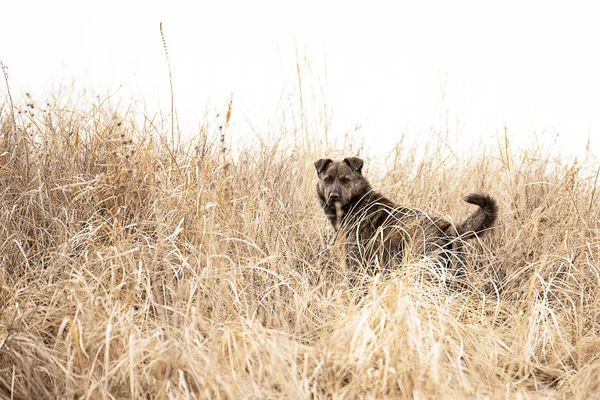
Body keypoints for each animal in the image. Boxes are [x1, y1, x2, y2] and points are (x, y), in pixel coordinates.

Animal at [314, 156, 496, 284]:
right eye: (327, 179)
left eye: (345, 180)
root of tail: (448, 227)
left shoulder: (356, 265)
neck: (358, 202)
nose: (333, 197)